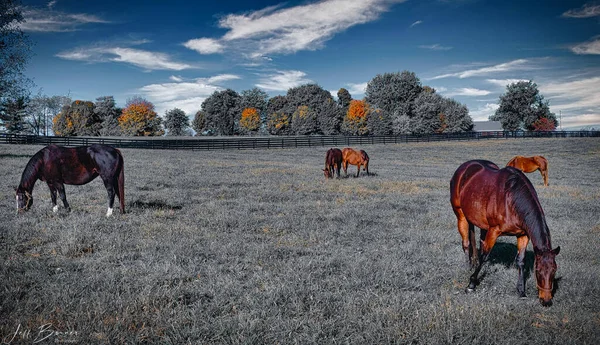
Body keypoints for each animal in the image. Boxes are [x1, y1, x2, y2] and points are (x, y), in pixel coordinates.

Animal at [450, 159, 564, 306]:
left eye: (554, 270)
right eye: (538, 271)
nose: (546, 301)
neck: (511, 200)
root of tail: (465, 167)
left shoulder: (523, 235)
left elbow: (520, 260)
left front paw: (521, 291)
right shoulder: (494, 230)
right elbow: (485, 255)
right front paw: (471, 284)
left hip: (482, 224)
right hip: (461, 215)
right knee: (466, 243)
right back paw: (468, 267)